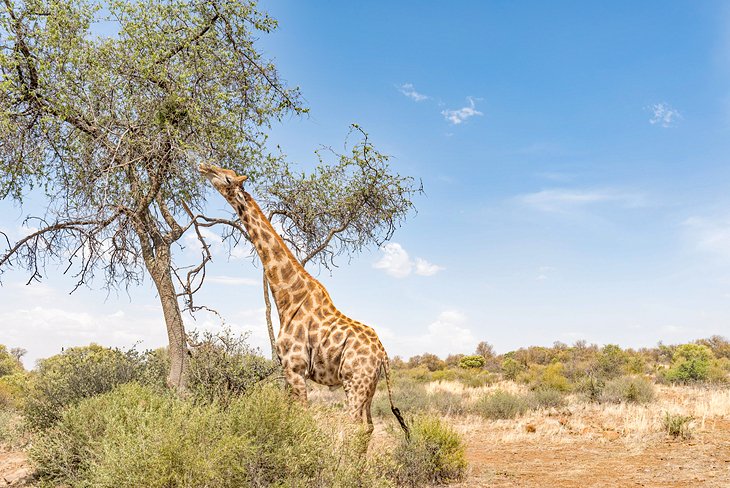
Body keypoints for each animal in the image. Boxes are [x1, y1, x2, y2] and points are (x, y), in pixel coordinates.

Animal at [199, 162, 410, 440]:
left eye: (226, 178)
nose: (204, 166)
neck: (287, 299)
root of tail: (383, 354)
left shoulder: (295, 368)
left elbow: (301, 419)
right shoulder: (288, 371)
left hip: (355, 382)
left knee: (354, 426)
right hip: (370, 387)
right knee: (368, 428)